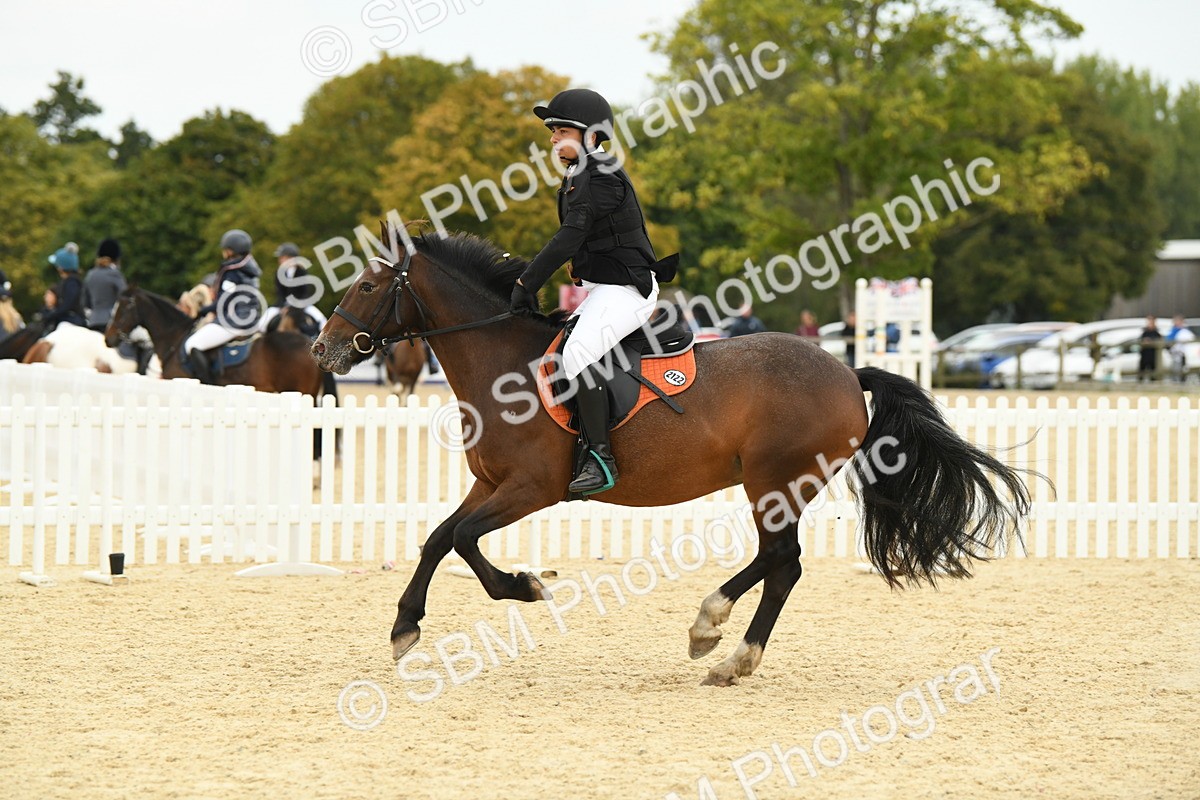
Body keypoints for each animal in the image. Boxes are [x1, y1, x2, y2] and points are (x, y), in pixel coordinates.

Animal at [312, 225, 1033, 686]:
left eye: (369, 286)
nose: (325, 349)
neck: (501, 363)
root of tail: (846, 370)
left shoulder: (530, 489)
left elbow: (463, 540)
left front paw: (523, 586)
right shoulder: (490, 484)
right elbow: (439, 538)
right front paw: (405, 626)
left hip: (776, 483)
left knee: (782, 561)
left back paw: (721, 641)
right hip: (775, 486)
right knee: (780, 563)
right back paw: (722, 643)